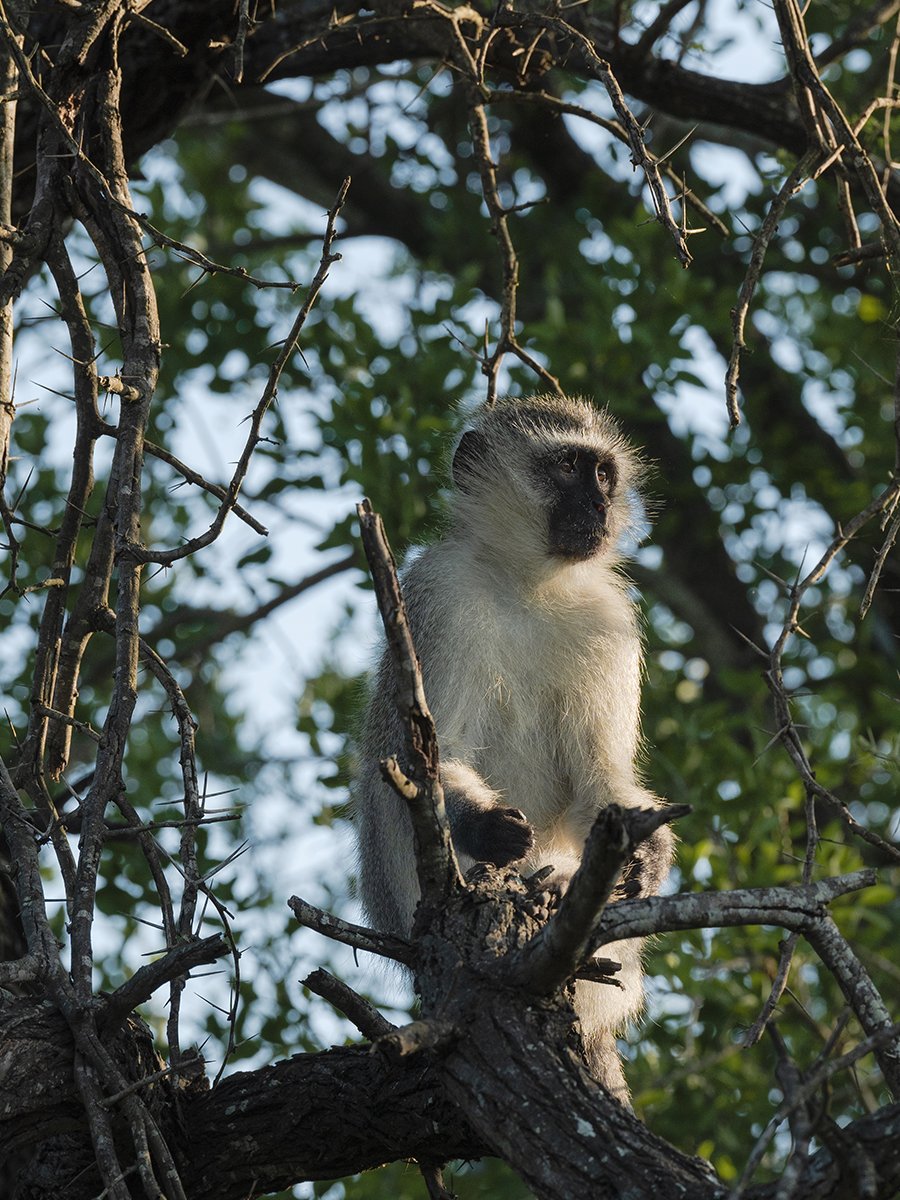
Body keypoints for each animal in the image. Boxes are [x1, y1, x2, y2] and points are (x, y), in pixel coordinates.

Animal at [355, 391, 672, 1099]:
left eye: (603, 474)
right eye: (567, 468)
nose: (600, 508)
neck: (530, 585)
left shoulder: (609, 621)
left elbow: (598, 782)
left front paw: (645, 854)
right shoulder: (438, 591)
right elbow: (417, 755)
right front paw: (486, 825)